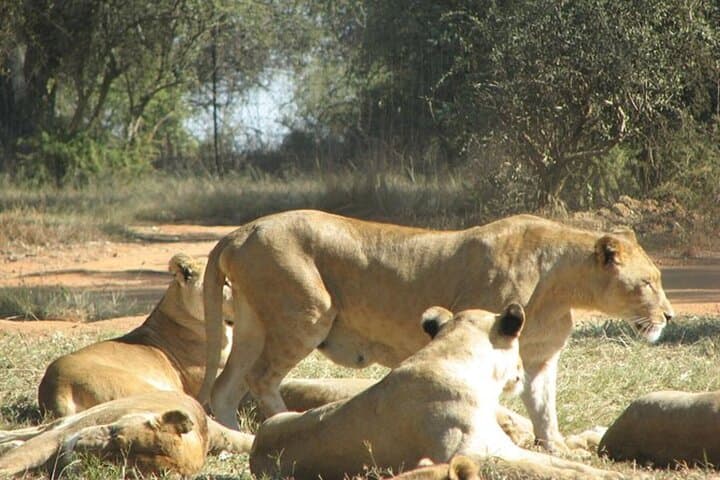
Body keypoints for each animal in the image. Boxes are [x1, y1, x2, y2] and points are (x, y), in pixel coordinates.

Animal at [0, 391, 253, 478]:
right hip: (68, 420)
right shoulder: (65, 433)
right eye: (115, 433)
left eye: (113, 462)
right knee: (32, 432)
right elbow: (16, 460)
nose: (79, 446)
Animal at [199, 210, 674, 451]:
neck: (562, 286)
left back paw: (240, 436)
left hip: (252, 324)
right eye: (648, 283)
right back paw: (285, 425)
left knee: (225, 387)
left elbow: (545, 407)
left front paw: (556, 446)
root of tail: (241, 230)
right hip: (308, 311)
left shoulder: (540, 358)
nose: (669, 317)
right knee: (260, 378)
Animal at [249, 305, 622, 480]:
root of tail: (255, 449)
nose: (520, 372)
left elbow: (557, 464)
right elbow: (539, 470)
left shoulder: (502, 447)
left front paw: (602, 469)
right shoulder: (468, 455)